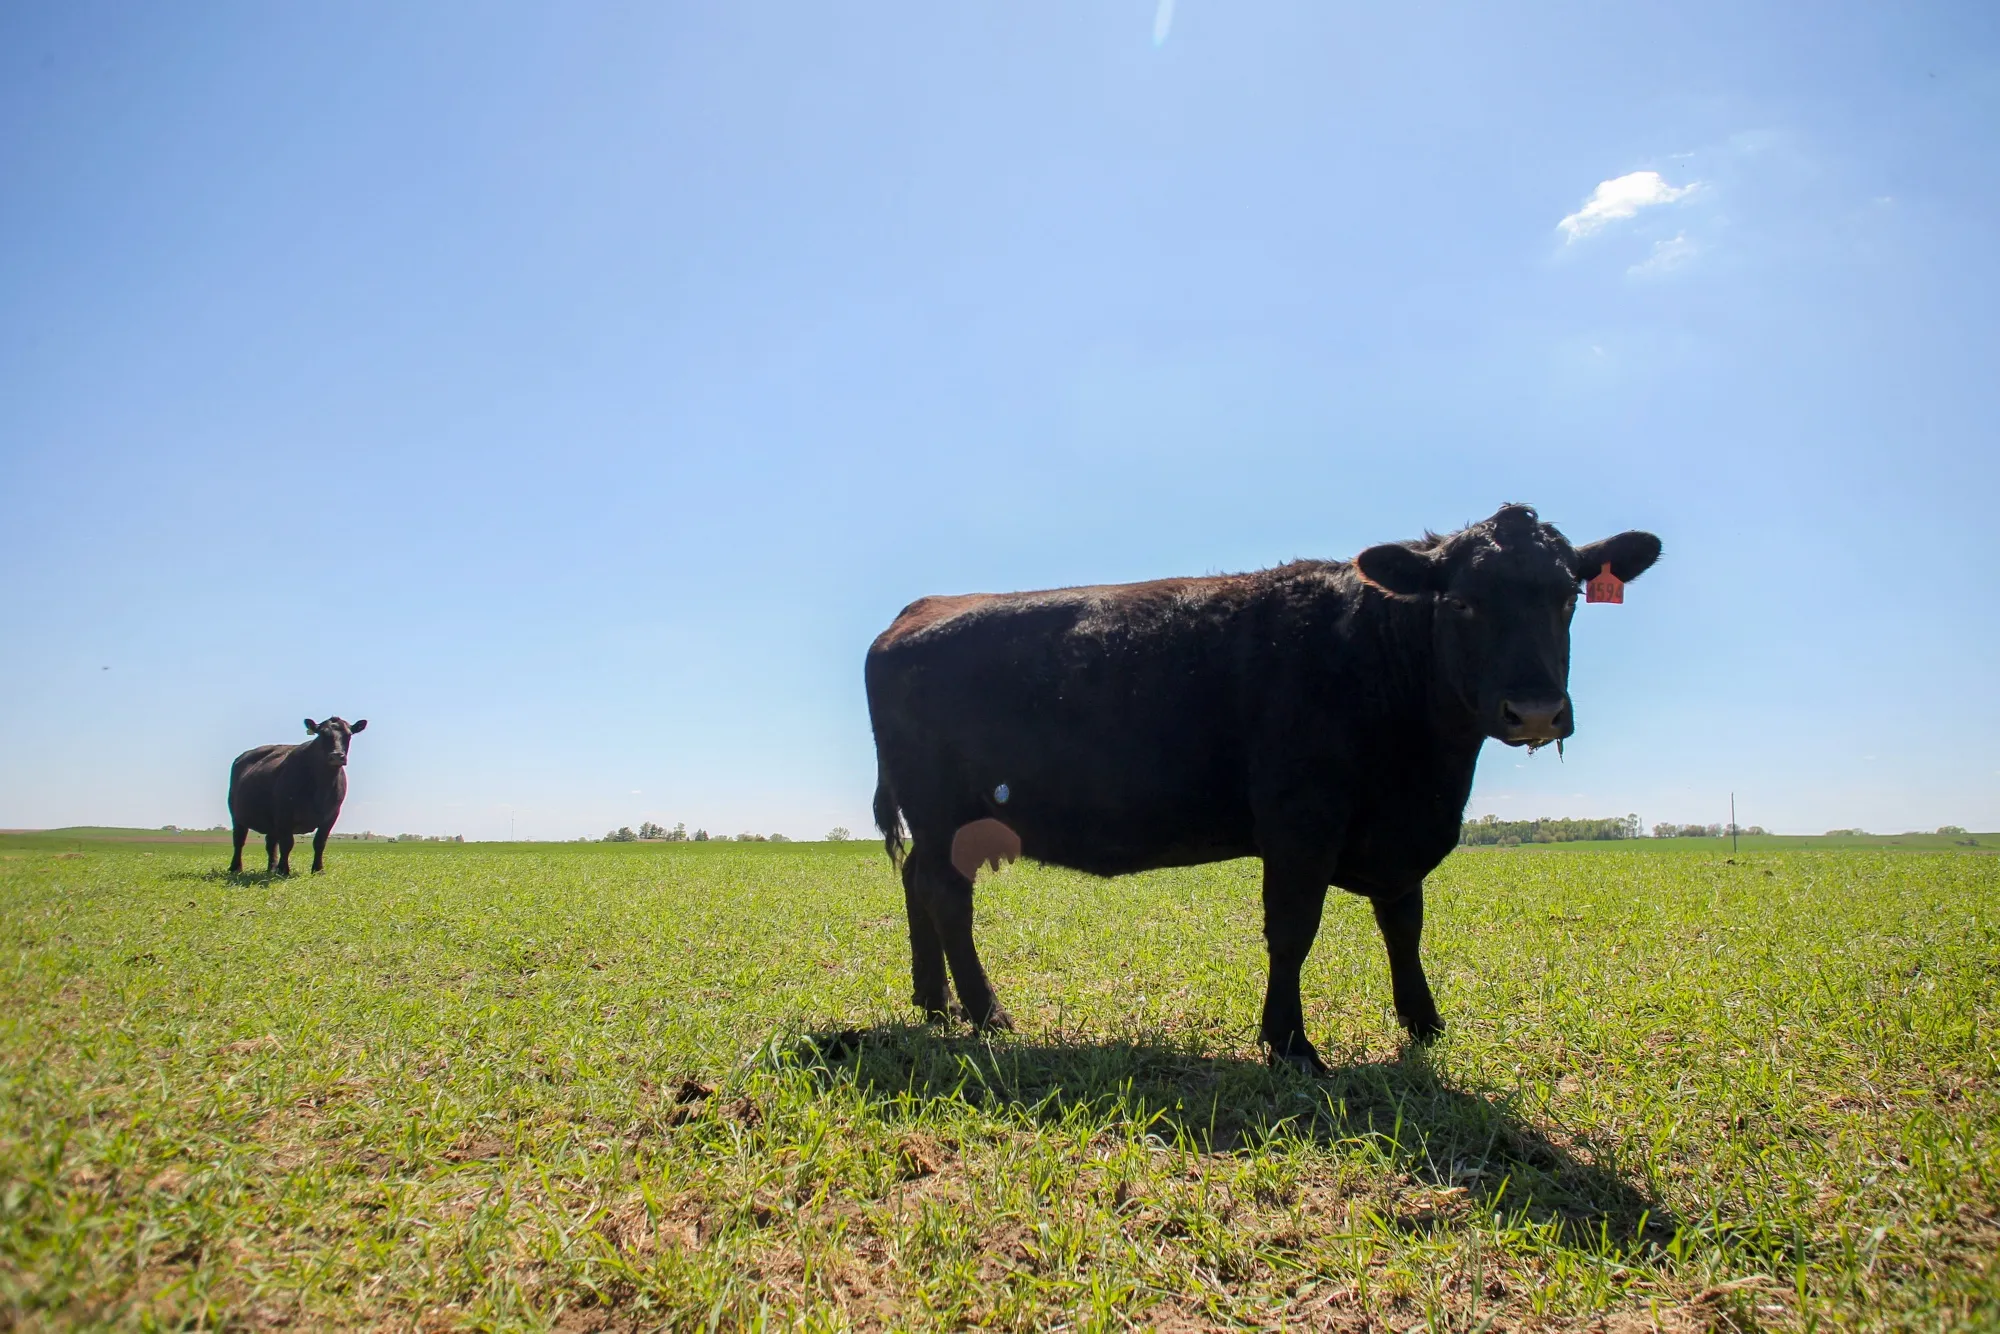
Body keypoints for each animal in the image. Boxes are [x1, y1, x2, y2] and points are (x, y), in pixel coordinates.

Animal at [227, 717, 368, 875]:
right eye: (322, 734)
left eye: (349, 735)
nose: (337, 756)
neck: (322, 786)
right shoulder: (284, 813)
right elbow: (287, 843)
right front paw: (284, 869)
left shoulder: (331, 815)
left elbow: (320, 842)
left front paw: (318, 869)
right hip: (237, 815)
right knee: (239, 840)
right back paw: (236, 868)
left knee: (270, 843)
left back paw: (271, 868)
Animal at [865, 504, 1660, 1073]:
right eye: (1462, 602)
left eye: (1568, 598)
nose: (1535, 711)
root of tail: (914, 613)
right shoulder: (1300, 823)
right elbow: (1293, 929)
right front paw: (1291, 1044)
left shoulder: (1400, 831)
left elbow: (1404, 925)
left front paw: (1425, 1024)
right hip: (943, 810)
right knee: (945, 895)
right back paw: (984, 1012)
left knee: (916, 883)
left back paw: (933, 1003)